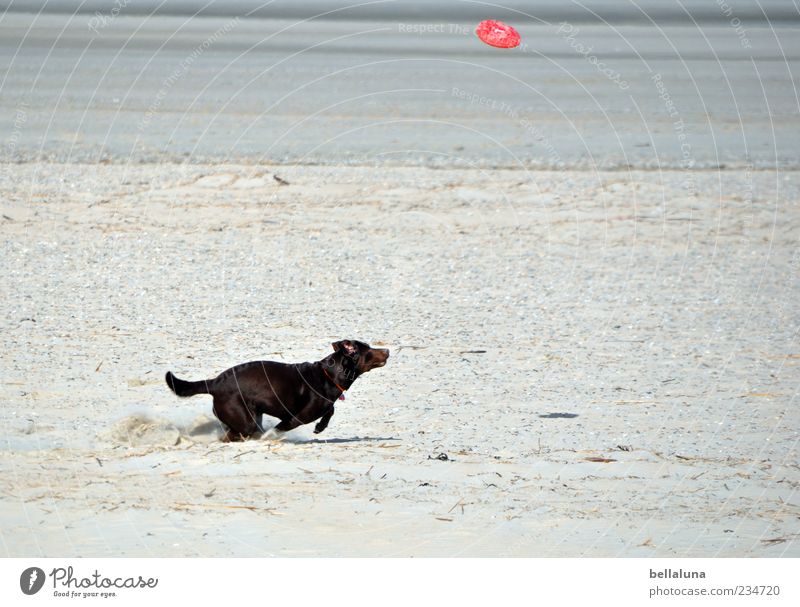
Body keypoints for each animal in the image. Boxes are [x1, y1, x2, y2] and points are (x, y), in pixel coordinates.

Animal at [164, 342, 390, 442]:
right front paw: (272, 435)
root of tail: (214, 383)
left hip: (250, 416)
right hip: (245, 420)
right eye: (369, 350)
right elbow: (283, 426)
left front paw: (320, 427)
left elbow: (330, 410)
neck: (329, 374)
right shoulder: (298, 416)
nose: (387, 350)